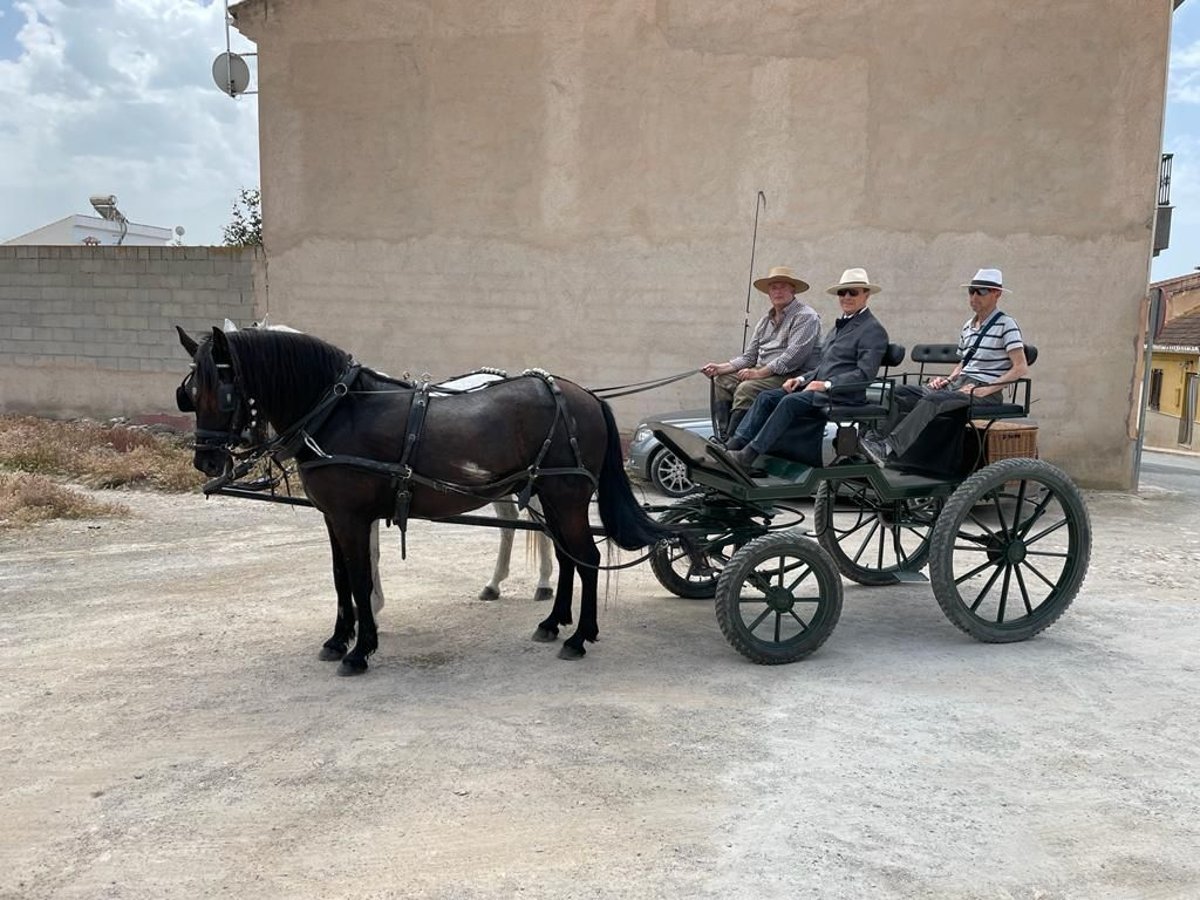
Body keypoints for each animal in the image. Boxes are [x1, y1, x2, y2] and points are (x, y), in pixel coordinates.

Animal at [175, 326, 691, 676]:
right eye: (190, 393)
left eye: (223, 391)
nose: (205, 459)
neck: (338, 411)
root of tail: (584, 395)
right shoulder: (334, 517)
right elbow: (340, 579)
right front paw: (339, 639)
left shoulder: (351, 517)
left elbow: (359, 580)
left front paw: (360, 650)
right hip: (551, 497)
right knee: (568, 559)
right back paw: (553, 623)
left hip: (564, 496)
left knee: (586, 559)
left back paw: (580, 637)